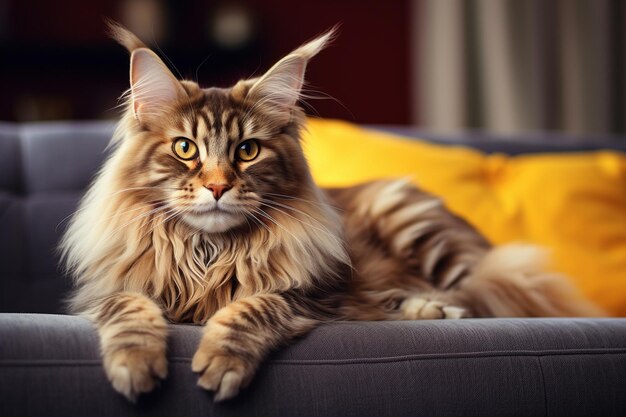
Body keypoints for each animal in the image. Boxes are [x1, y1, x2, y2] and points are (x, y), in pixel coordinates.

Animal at [59, 21, 600, 402]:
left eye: (248, 151)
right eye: (186, 148)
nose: (217, 186)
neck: (207, 253)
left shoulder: (309, 296)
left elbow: (251, 309)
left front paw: (220, 362)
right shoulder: (106, 291)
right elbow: (131, 311)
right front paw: (134, 366)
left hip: (421, 230)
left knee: (484, 294)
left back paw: (435, 307)